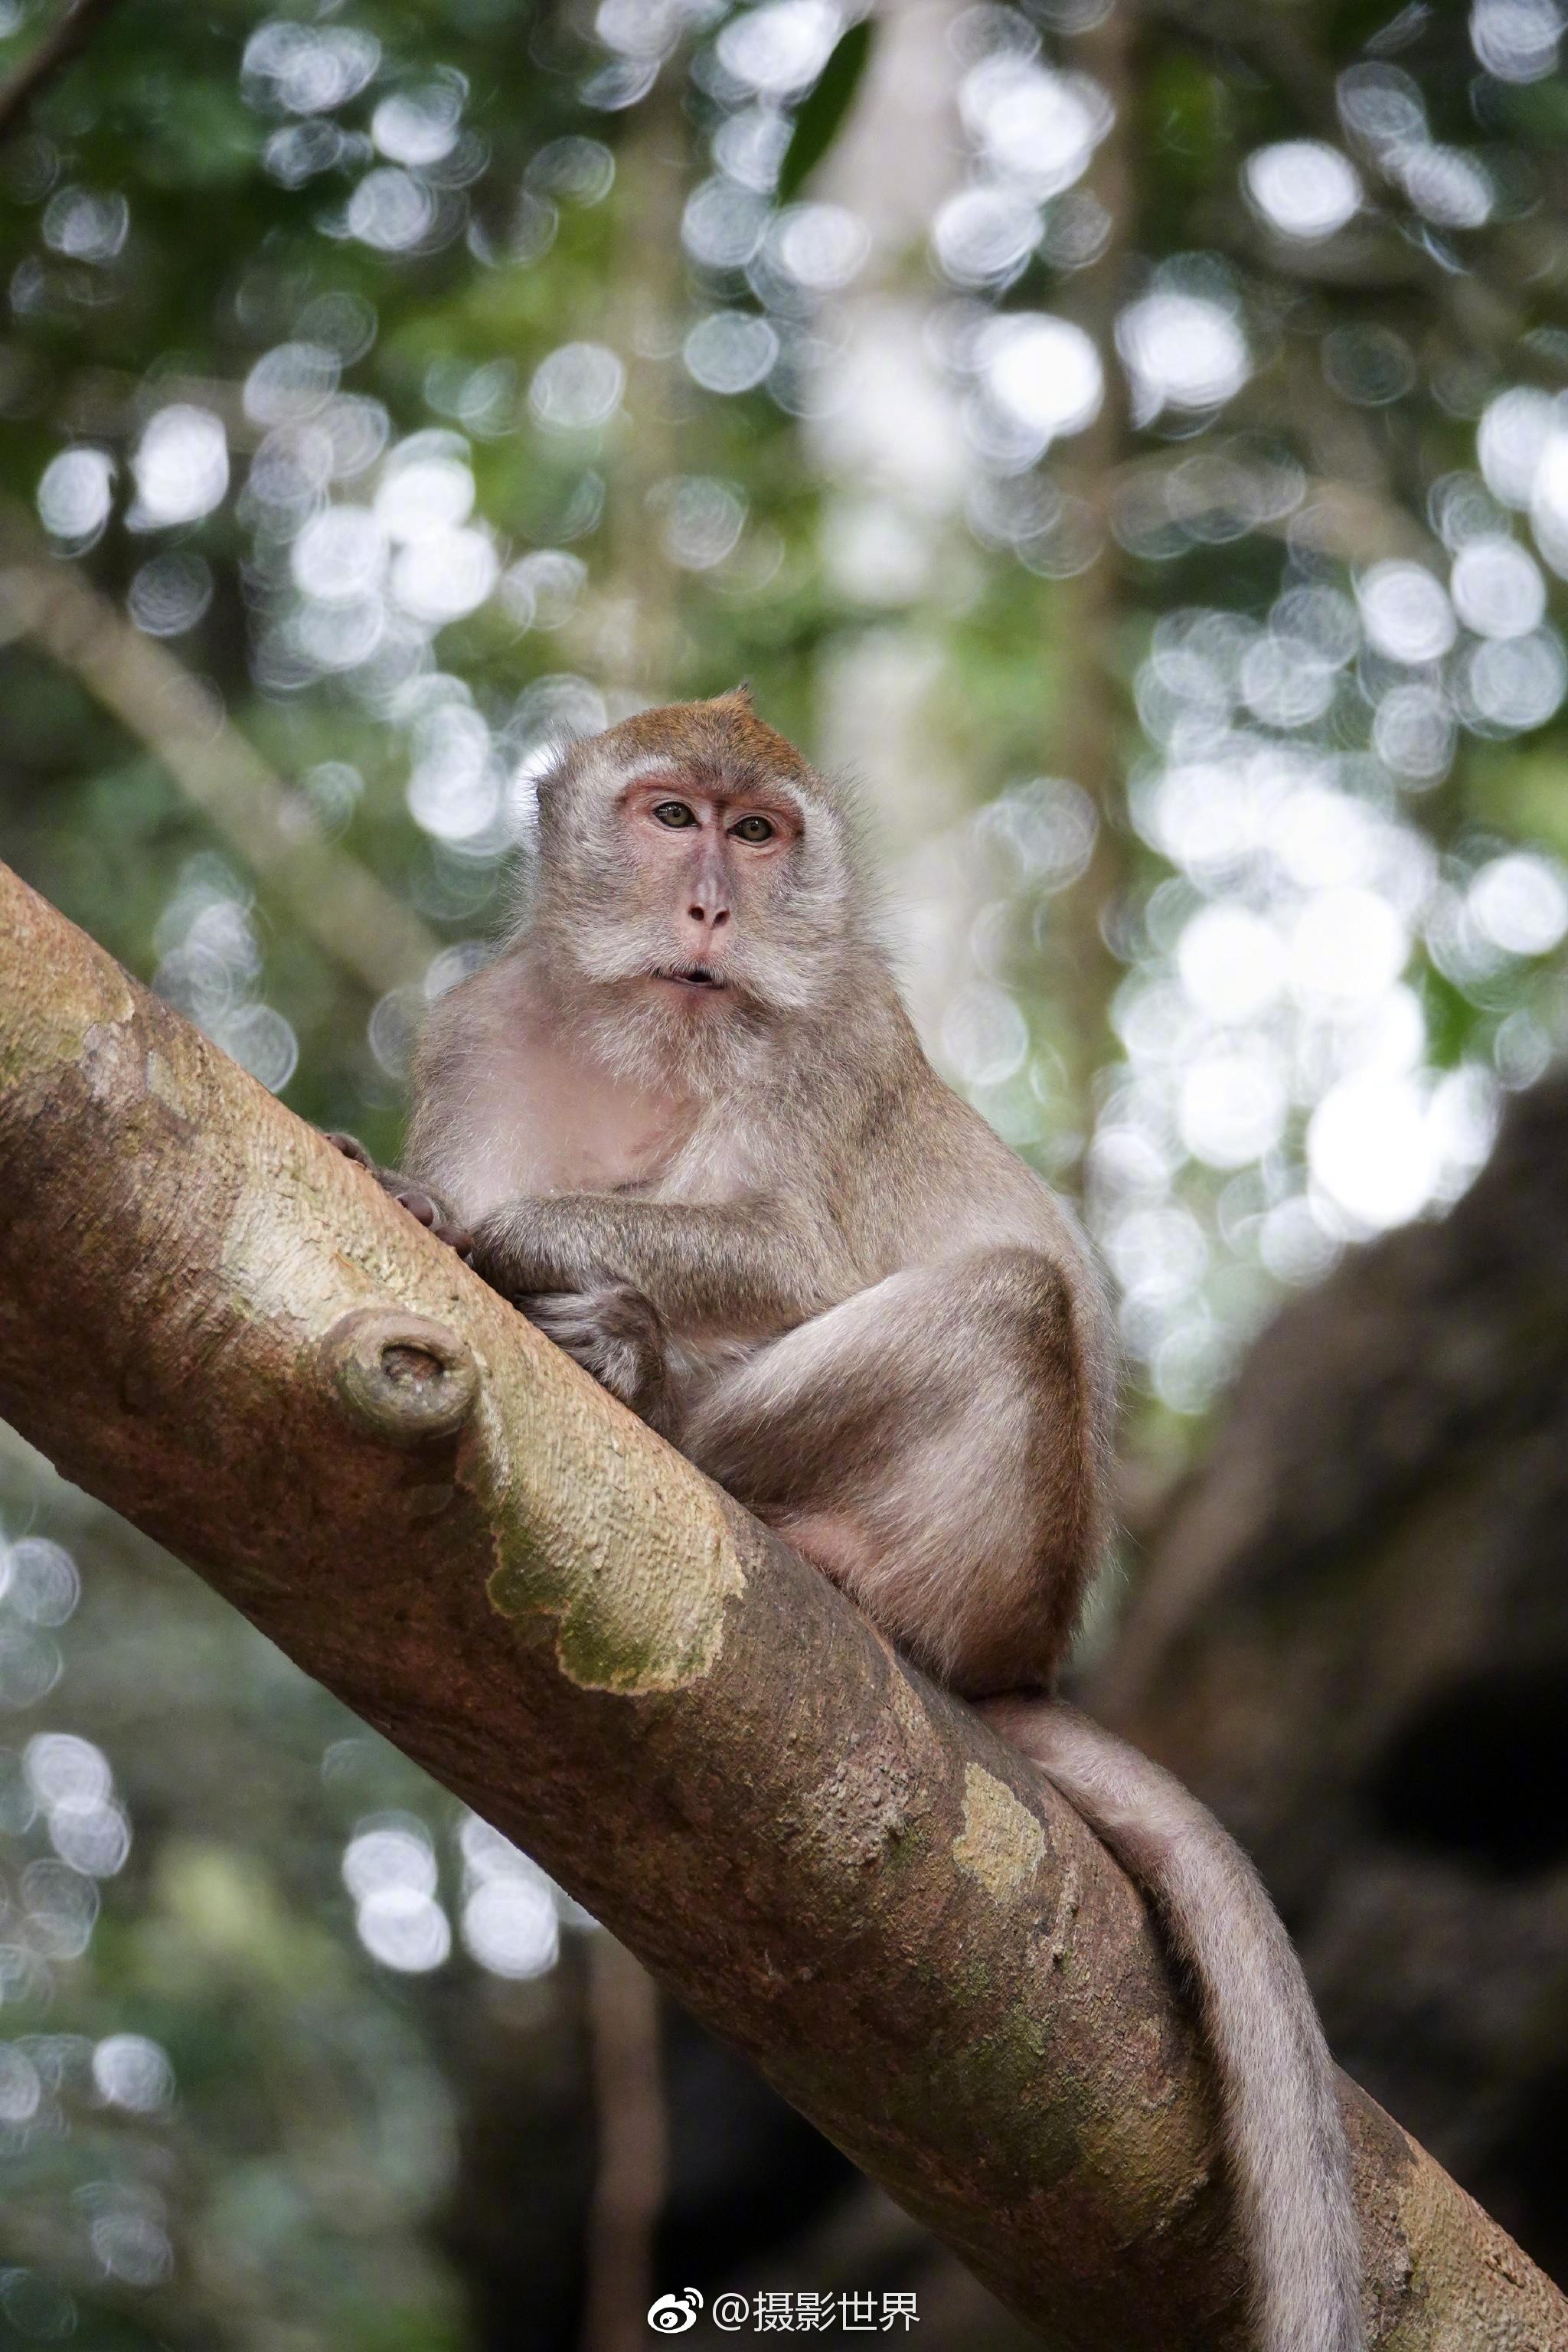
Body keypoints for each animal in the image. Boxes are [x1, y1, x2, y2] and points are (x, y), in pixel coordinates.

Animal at [334, 687, 1363, 2342]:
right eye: (671, 817)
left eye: (759, 834)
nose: (711, 907)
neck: (653, 1038)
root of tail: (1022, 1653)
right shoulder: (481, 1030)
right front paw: (454, 1219)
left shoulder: (821, 1048)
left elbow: (789, 1257)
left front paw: (496, 1233)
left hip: (957, 1557)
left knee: (1007, 1299)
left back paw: (686, 1422)